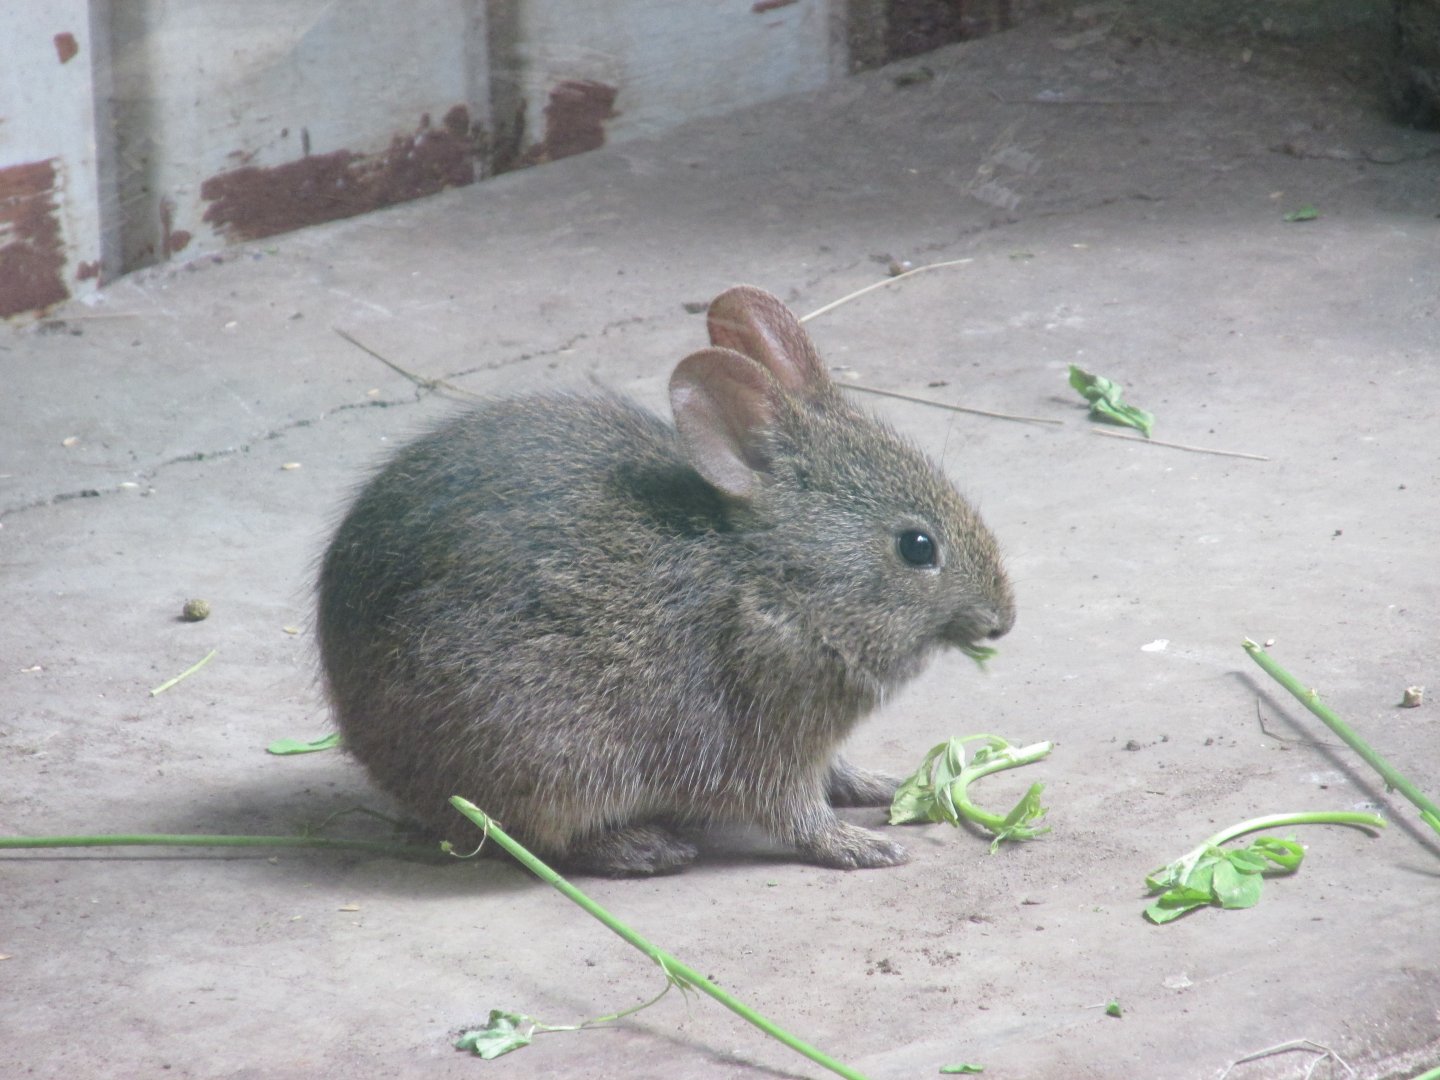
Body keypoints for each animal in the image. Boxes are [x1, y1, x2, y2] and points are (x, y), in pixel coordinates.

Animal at [316, 285, 1015, 876]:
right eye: (917, 547)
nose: (1002, 620)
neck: (771, 583)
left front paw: (877, 786)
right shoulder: (759, 742)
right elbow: (795, 814)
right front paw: (859, 846)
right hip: (544, 760)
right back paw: (640, 848)